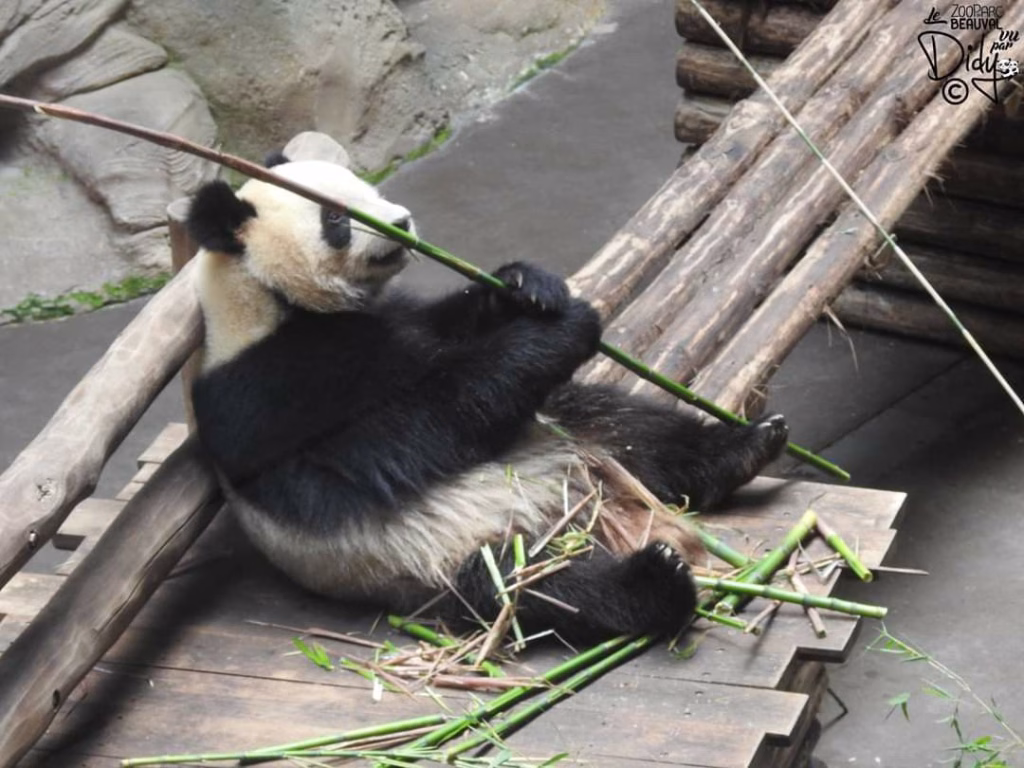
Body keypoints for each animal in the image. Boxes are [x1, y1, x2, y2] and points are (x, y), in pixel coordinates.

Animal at [187, 142, 790, 643]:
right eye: (334, 217)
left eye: (368, 190)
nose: (401, 221)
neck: (263, 300)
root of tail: (584, 503)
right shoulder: (270, 391)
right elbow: (403, 435)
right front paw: (560, 328)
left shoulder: (392, 317)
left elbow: (447, 325)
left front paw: (527, 286)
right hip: (441, 560)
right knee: (536, 589)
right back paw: (654, 579)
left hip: (577, 433)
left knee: (633, 428)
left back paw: (746, 446)